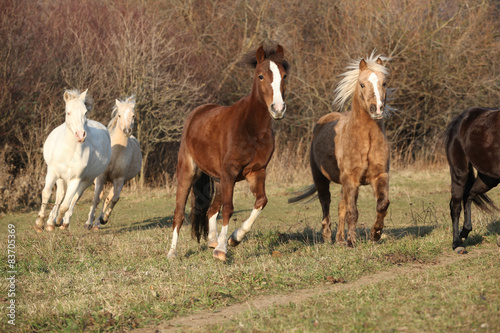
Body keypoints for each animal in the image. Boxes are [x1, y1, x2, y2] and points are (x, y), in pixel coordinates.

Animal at [34, 89, 111, 232]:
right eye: (68, 112)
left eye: (85, 112)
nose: (80, 135)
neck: (69, 152)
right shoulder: (52, 172)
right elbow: (46, 194)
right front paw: (39, 223)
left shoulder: (76, 180)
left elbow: (65, 205)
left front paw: (59, 222)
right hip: (60, 178)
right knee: (59, 196)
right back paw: (50, 223)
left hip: (87, 180)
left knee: (73, 199)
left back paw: (61, 223)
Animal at [85, 95, 142, 228]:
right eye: (119, 115)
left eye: (133, 115)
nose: (127, 131)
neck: (116, 152)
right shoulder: (101, 177)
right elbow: (96, 198)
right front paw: (89, 222)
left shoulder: (120, 179)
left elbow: (114, 199)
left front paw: (103, 219)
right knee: (99, 196)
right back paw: (90, 220)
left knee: (107, 198)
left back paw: (98, 222)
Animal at [167, 44, 290, 260]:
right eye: (261, 76)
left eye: (284, 76)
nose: (278, 109)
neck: (251, 129)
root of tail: (197, 113)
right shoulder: (230, 173)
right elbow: (229, 209)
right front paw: (222, 250)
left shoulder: (257, 172)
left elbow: (261, 201)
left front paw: (234, 238)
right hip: (188, 172)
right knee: (180, 213)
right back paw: (173, 253)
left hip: (219, 179)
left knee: (211, 210)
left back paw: (212, 240)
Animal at [290, 52, 390, 246]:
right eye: (362, 84)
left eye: (384, 83)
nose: (377, 109)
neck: (366, 139)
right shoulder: (351, 179)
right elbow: (353, 212)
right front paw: (352, 241)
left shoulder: (379, 175)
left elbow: (382, 204)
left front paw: (375, 234)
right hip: (321, 178)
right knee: (326, 203)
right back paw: (328, 237)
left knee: (340, 205)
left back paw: (340, 240)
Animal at [444, 107, 498, 253]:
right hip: (459, 173)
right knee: (456, 207)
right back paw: (457, 244)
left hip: (488, 178)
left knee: (469, 195)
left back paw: (464, 232)